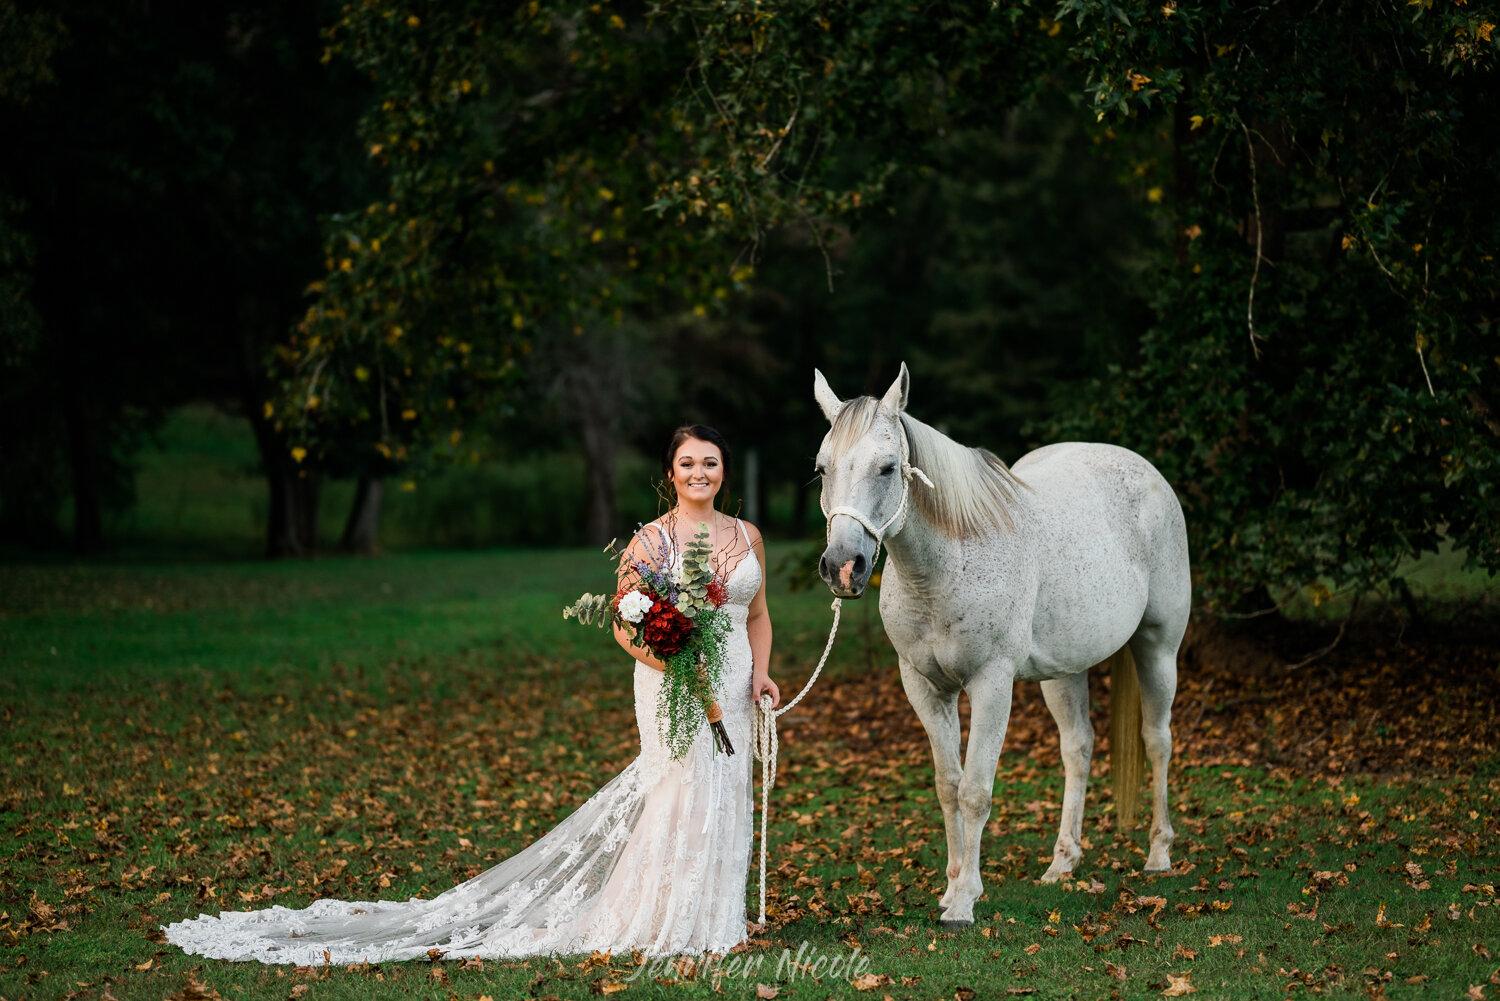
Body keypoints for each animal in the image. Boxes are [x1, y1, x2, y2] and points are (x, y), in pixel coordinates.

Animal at [816, 364, 1188, 930]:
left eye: (888, 468)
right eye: (821, 469)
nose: (842, 567)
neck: (943, 567)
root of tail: (1146, 471)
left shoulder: (991, 684)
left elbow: (975, 790)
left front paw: (965, 901)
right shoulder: (924, 688)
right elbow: (948, 786)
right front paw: (950, 887)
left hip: (1159, 648)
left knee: (1157, 740)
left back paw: (1159, 853)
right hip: (1064, 672)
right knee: (1078, 747)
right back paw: (1062, 862)